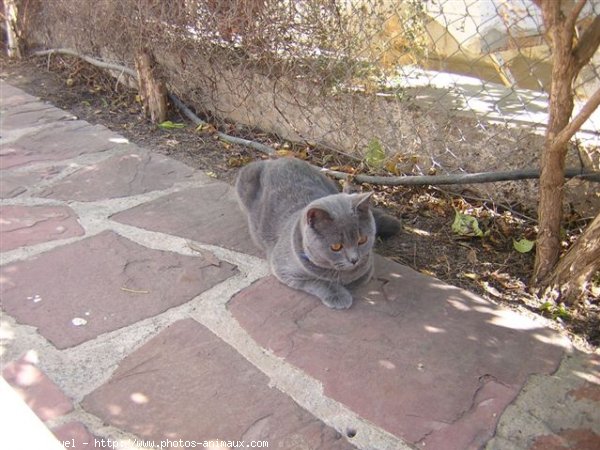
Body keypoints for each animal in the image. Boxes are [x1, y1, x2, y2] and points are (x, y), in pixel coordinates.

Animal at [234, 158, 398, 310]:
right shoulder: (284, 270)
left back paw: (392, 223)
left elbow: (360, 277)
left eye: (362, 240)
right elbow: (320, 281)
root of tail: (276, 159)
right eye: (336, 247)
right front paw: (339, 295)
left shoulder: (367, 267)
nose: (354, 259)